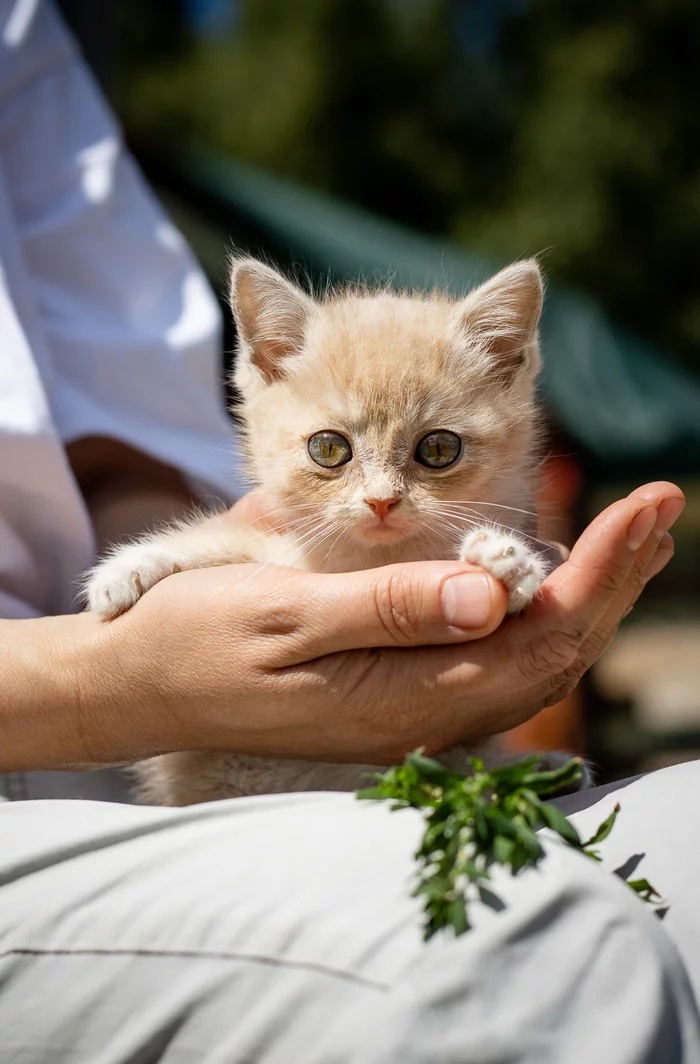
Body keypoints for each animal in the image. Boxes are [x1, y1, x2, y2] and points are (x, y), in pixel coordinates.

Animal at [84, 257, 557, 804]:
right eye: (329, 448)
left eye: (439, 449)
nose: (381, 501)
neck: (368, 561)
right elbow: (215, 540)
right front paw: (124, 571)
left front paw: (509, 564)